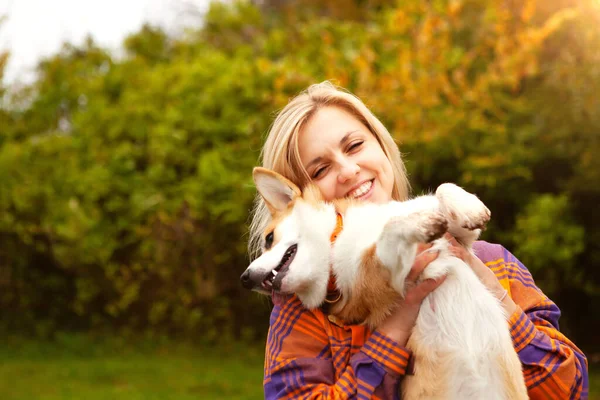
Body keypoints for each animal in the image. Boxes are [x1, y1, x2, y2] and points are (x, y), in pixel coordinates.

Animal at [241, 167, 528, 398]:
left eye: (269, 239)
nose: (245, 279)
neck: (336, 242)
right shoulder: (385, 274)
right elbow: (392, 228)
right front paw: (419, 225)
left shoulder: (460, 240)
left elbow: (442, 189)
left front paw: (470, 208)